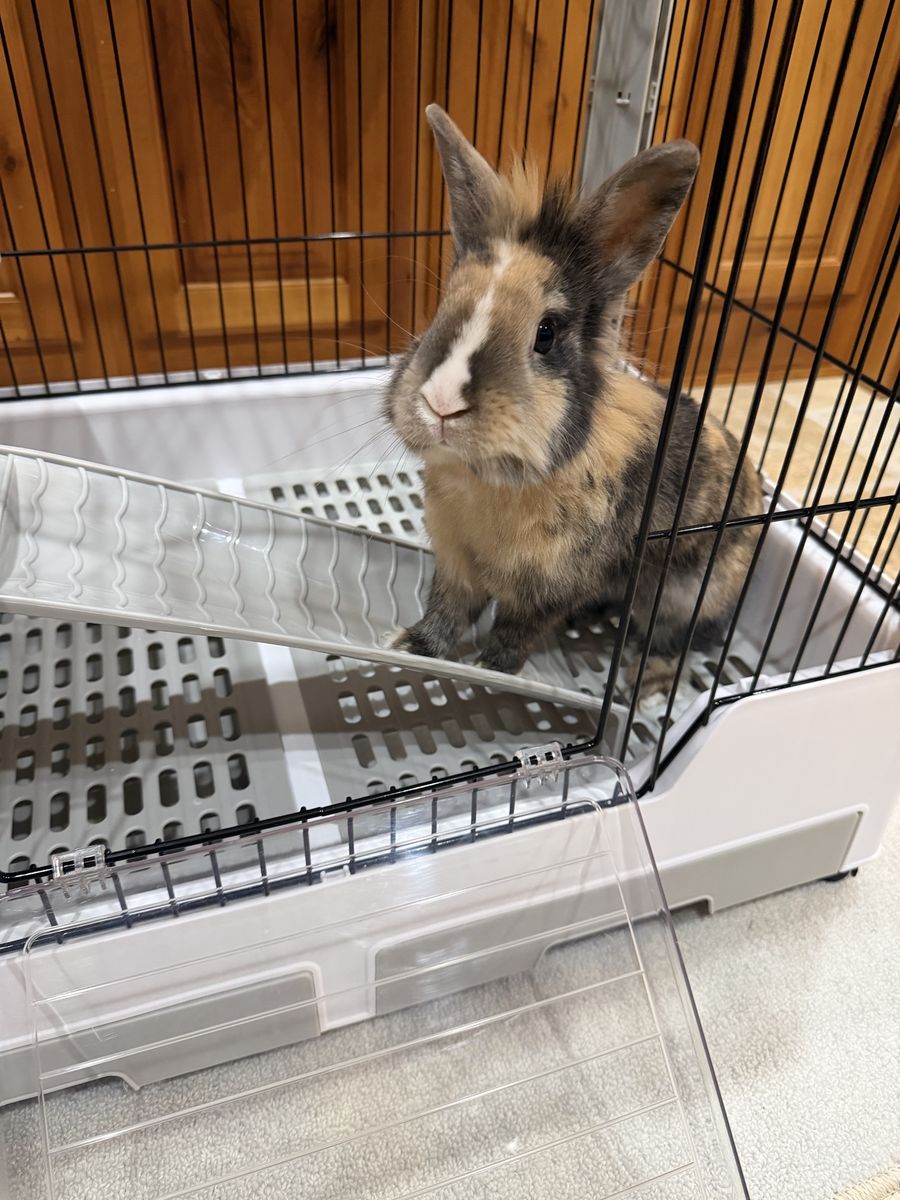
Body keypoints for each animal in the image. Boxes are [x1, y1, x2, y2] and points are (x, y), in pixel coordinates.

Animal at [384, 104, 762, 692]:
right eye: (442, 308)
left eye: (547, 333)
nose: (441, 402)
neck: (491, 477)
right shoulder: (455, 564)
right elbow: (446, 612)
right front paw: (409, 646)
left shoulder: (549, 588)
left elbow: (514, 632)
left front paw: (490, 669)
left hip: (684, 593)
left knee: (677, 637)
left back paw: (645, 684)